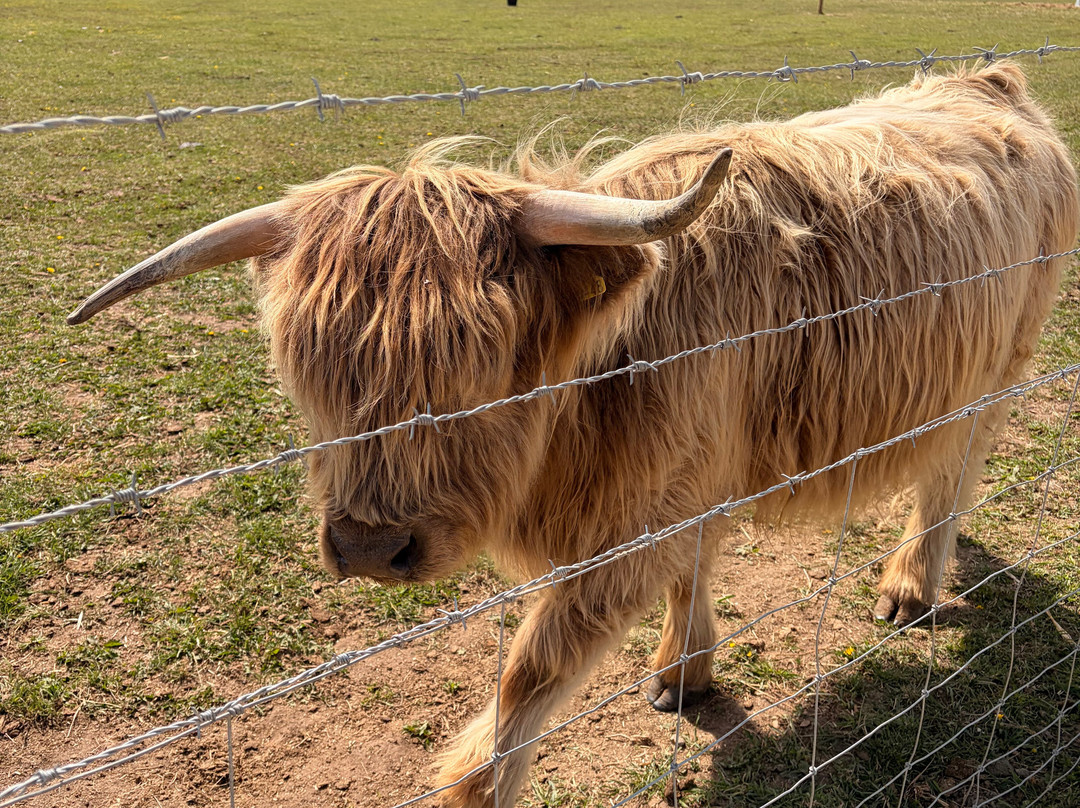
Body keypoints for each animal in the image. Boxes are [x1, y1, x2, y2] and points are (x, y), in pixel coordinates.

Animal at [69, 63, 1078, 807]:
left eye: (477, 369)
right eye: (309, 372)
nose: (366, 547)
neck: (601, 375)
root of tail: (988, 80)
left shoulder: (628, 529)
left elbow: (532, 670)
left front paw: (473, 787)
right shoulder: (685, 481)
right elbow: (693, 568)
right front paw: (687, 671)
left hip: (1002, 362)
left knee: (953, 472)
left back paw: (911, 584)